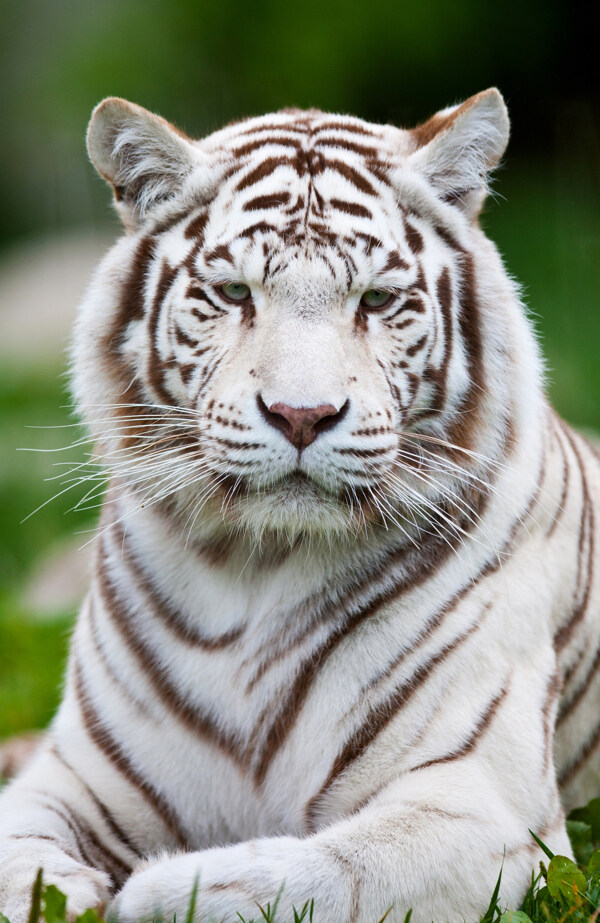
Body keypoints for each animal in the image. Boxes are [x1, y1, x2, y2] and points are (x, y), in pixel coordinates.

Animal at [1, 86, 600, 923]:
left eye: (377, 300)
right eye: (233, 294)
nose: (302, 414)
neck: (257, 565)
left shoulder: (482, 804)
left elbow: (322, 872)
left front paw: (155, 886)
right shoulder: (79, 773)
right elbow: (16, 840)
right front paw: (53, 891)